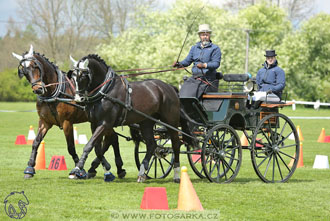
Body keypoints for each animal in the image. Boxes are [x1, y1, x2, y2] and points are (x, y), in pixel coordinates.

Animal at [11, 45, 125, 180]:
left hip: (104, 121)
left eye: (35, 66)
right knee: (111, 139)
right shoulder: (44, 122)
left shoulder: (67, 123)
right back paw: (105, 168)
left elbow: (71, 147)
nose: (38, 89)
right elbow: (35, 142)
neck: (53, 92)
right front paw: (29, 168)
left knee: (111, 139)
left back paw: (112, 168)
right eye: (23, 70)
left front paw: (78, 170)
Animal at [70, 54, 183, 182]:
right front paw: (106, 168)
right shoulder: (94, 124)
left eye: (83, 76)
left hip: (171, 122)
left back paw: (176, 175)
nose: (78, 99)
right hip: (146, 123)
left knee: (176, 144)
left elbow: (89, 145)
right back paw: (142, 173)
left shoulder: (105, 123)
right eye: (73, 77)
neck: (105, 90)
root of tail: (169, 87)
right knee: (152, 145)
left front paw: (77, 168)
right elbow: (97, 148)